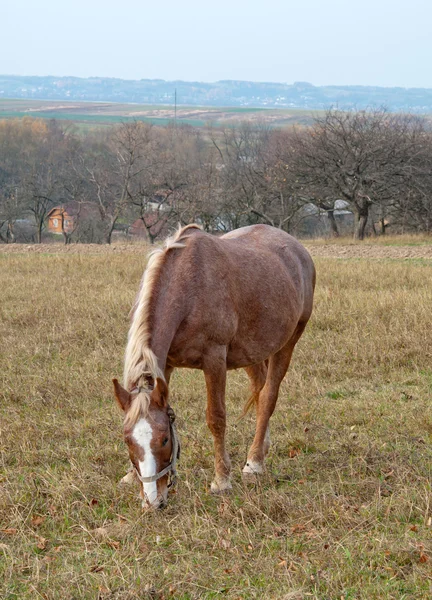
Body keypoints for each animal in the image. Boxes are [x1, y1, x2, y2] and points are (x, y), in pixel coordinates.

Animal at [113, 224, 316, 506]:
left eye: (164, 439)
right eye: (127, 440)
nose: (153, 501)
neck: (189, 289)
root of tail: (299, 251)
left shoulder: (214, 360)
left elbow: (216, 418)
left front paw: (221, 480)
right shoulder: (166, 366)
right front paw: (131, 477)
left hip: (287, 344)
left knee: (267, 397)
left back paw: (254, 462)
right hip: (251, 353)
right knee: (259, 388)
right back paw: (261, 448)